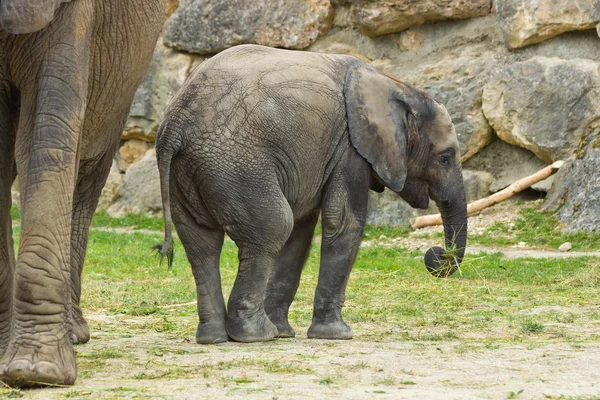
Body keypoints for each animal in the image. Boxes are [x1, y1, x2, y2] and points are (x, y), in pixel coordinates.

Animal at [156, 44, 468, 344]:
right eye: (445, 158)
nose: (437, 254)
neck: (395, 85)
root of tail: (174, 124)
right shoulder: (350, 148)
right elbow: (342, 222)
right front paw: (337, 334)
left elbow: (301, 233)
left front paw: (285, 333)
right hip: (235, 165)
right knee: (273, 226)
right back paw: (255, 335)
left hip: (189, 172)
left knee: (202, 244)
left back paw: (215, 338)